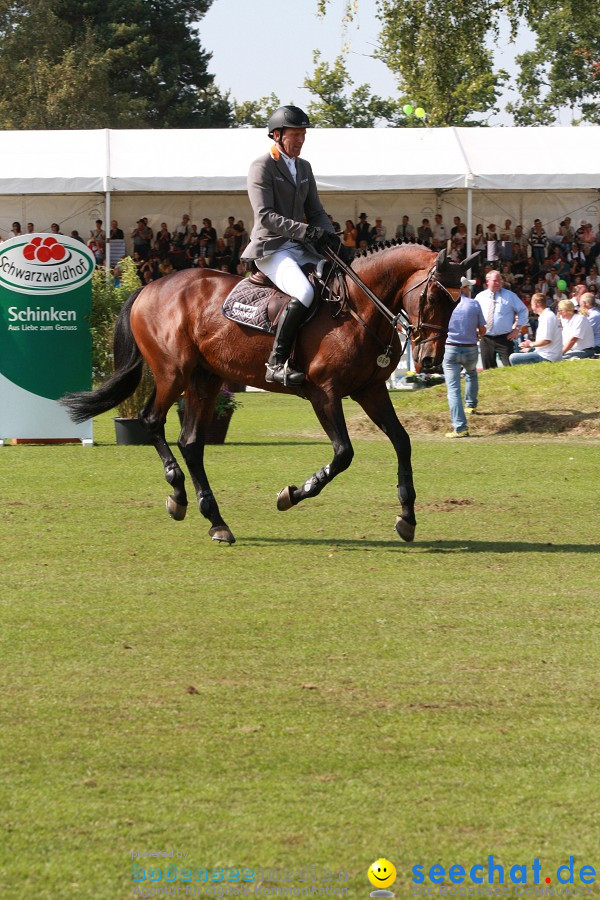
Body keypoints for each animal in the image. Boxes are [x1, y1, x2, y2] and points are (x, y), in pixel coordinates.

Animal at [63, 239, 480, 544]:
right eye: (432, 297)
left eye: (458, 300)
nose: (429, 360)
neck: (359, 308)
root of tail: (149, 287)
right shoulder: (324, 393)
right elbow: (343, 454)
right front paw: (294, 493)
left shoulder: (371, 390)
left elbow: (402, 442)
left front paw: (407, 517)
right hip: (172, 372)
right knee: (151, 421)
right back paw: (178, 494)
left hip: (205, 378)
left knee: (191, 442)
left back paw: (216, 520)